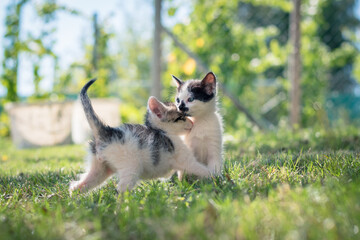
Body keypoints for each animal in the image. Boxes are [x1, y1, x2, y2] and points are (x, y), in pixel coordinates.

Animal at [69, 79, 211, 193]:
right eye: (180, 118)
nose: (192, 123)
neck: (165, 133)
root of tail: (107, 132)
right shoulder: (187, 161)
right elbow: (203, 170)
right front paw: (215, 179)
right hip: (131, 166)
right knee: (120, 190)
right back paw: (125, 207)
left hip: (99, 170)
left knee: (76, 187)